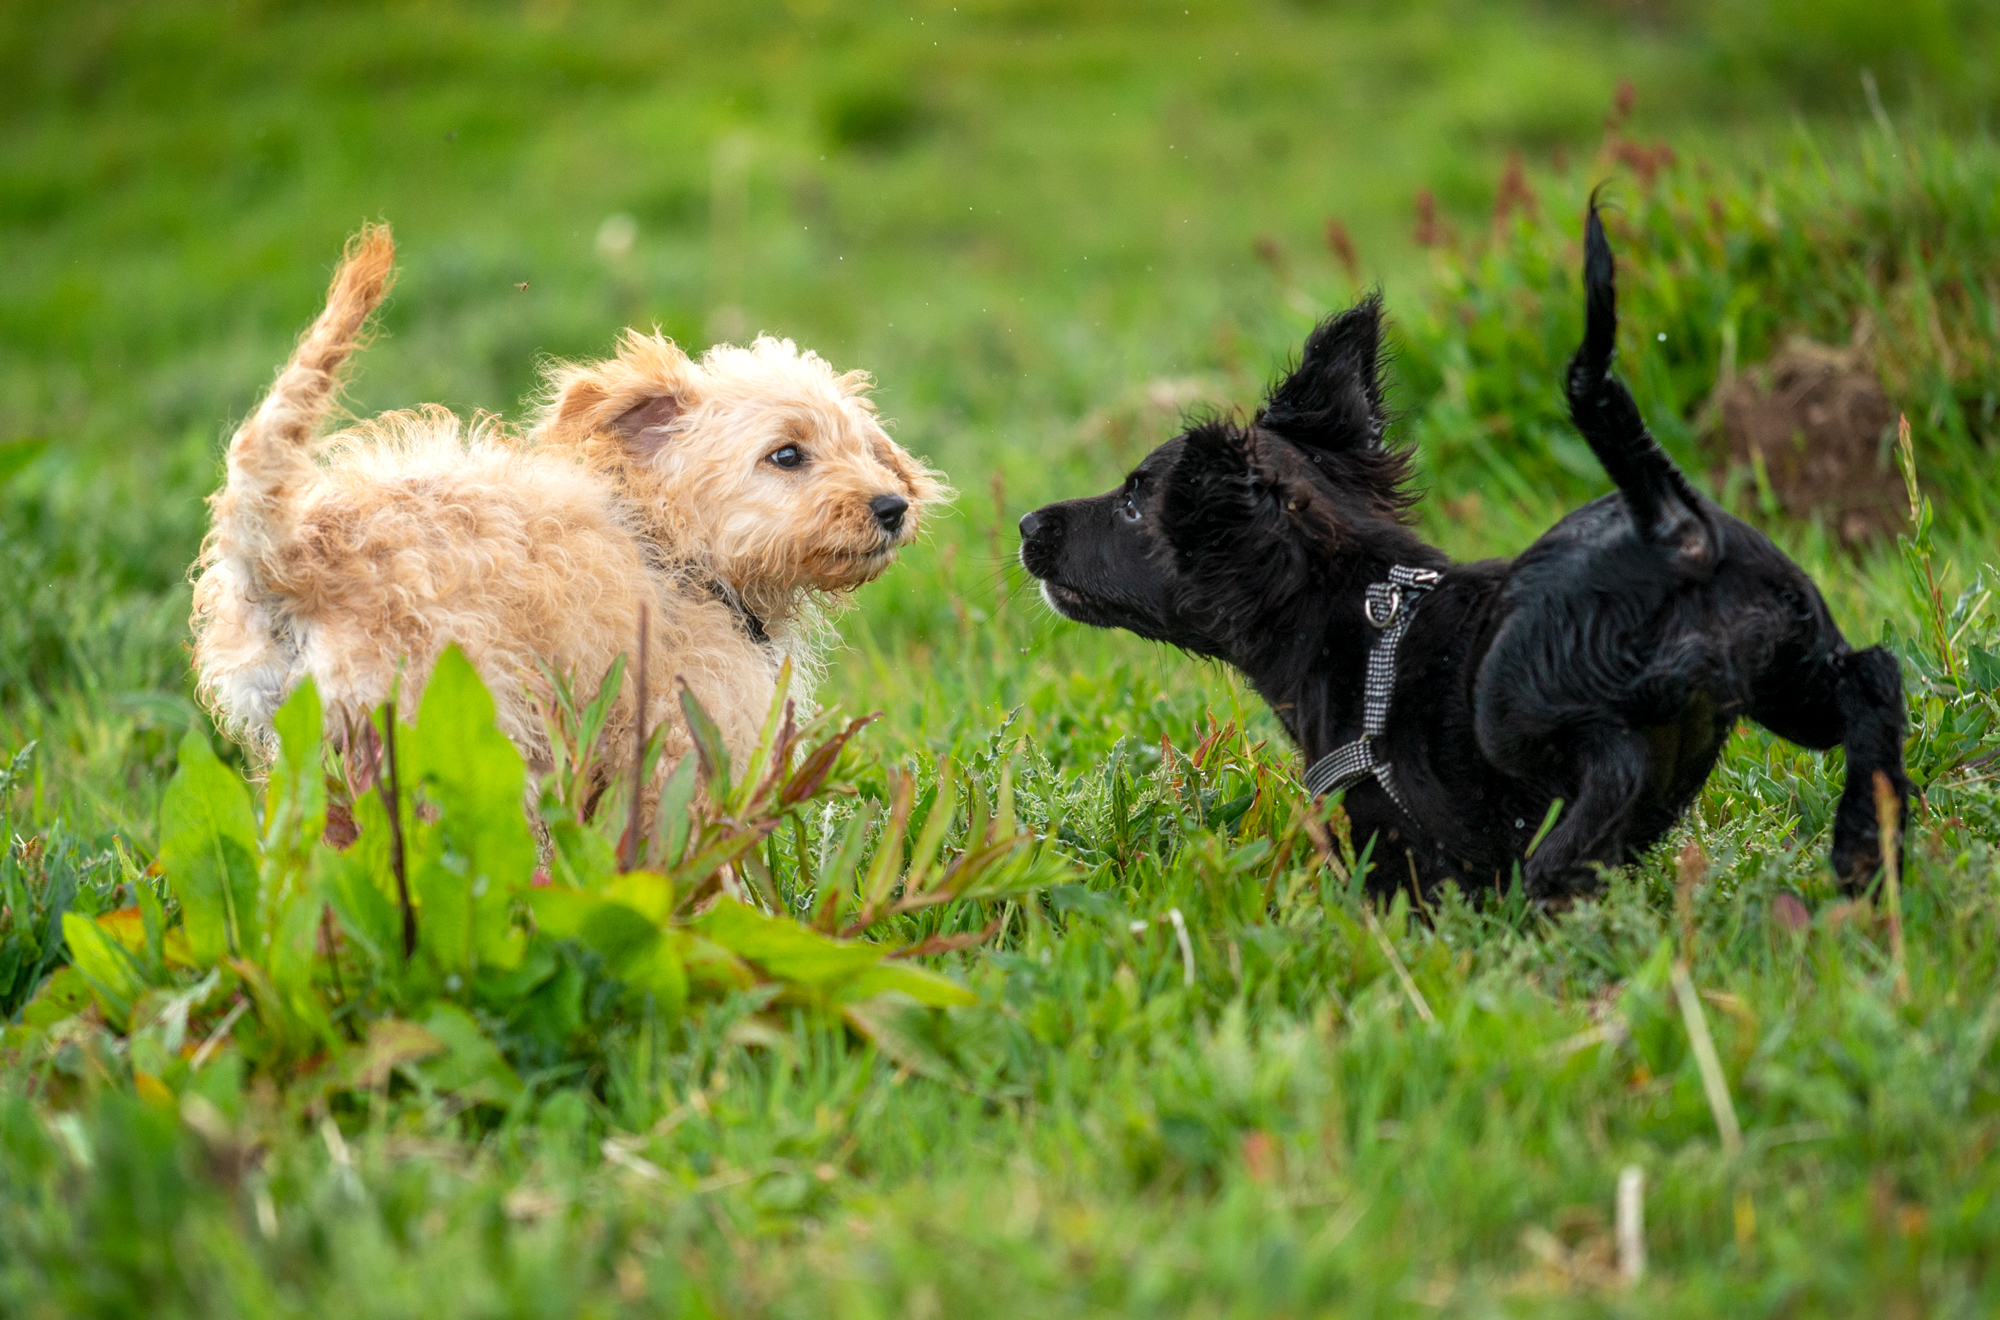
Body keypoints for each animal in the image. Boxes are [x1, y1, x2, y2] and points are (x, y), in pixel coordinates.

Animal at [191, 224, 940, 784]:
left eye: (864, 448)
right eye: (786, 455)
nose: (891, 507)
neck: (672, 552)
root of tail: (292, 554)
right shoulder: (680, 732)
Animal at [1024, 209, 1912, 896]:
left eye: (1134, 500)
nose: (1029, 526)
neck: (1355, 609)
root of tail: (1668, 518)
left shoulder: (1390, 839)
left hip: (1521, 704)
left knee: (1615, 769)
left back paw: (1557, 871)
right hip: (1787, 669)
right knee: (1873, 675)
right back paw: (1865, 840)